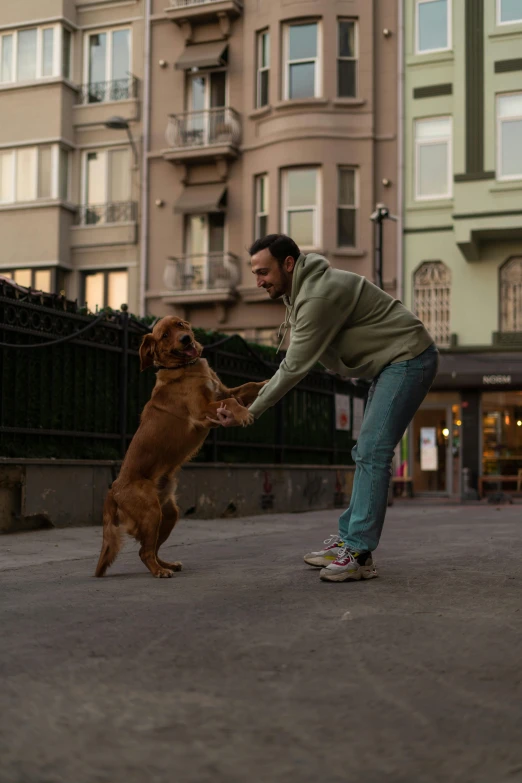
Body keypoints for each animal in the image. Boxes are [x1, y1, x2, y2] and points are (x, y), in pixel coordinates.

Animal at [94, 316, 266, 580]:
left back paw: (167, 564)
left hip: (168, 515)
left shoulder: (223, 390)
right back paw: (160, 571)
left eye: (181, 325)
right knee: (144, 551)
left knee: (152, 548)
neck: (186, 367)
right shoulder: (202, 409)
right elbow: (230, 402)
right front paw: (244, 414)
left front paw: (269, 381)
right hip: (151, 513)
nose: (185, 339)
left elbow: (248, 386)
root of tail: (113, 489)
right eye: (165, 335)